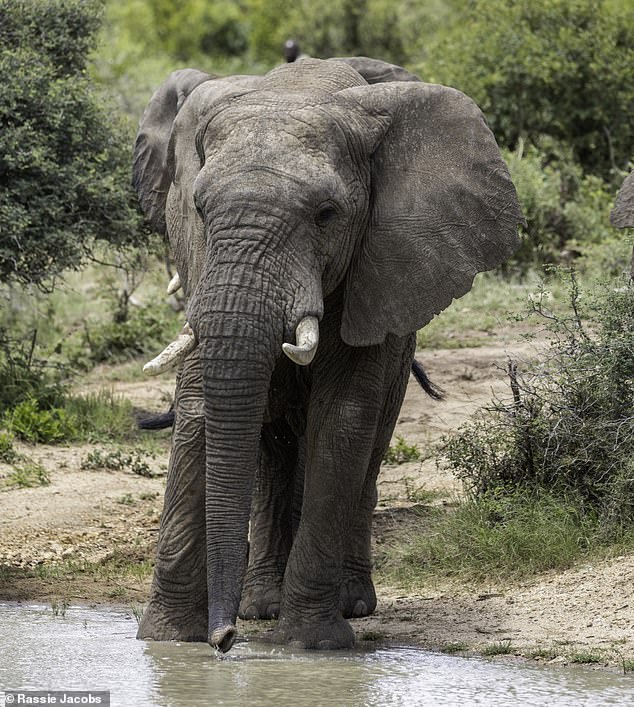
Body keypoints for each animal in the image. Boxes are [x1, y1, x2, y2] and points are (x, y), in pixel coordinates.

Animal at [131, 54, 520, 652]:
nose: (225, 639)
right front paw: (168, 640)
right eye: (198, 207)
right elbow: (198, 407)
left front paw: (310, 645)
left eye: (326, 214)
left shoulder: (377, 268)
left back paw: (351, 603)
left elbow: (343, 420)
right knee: (272, 447)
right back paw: (262, 604)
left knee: (370, 442)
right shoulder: (200, 263)